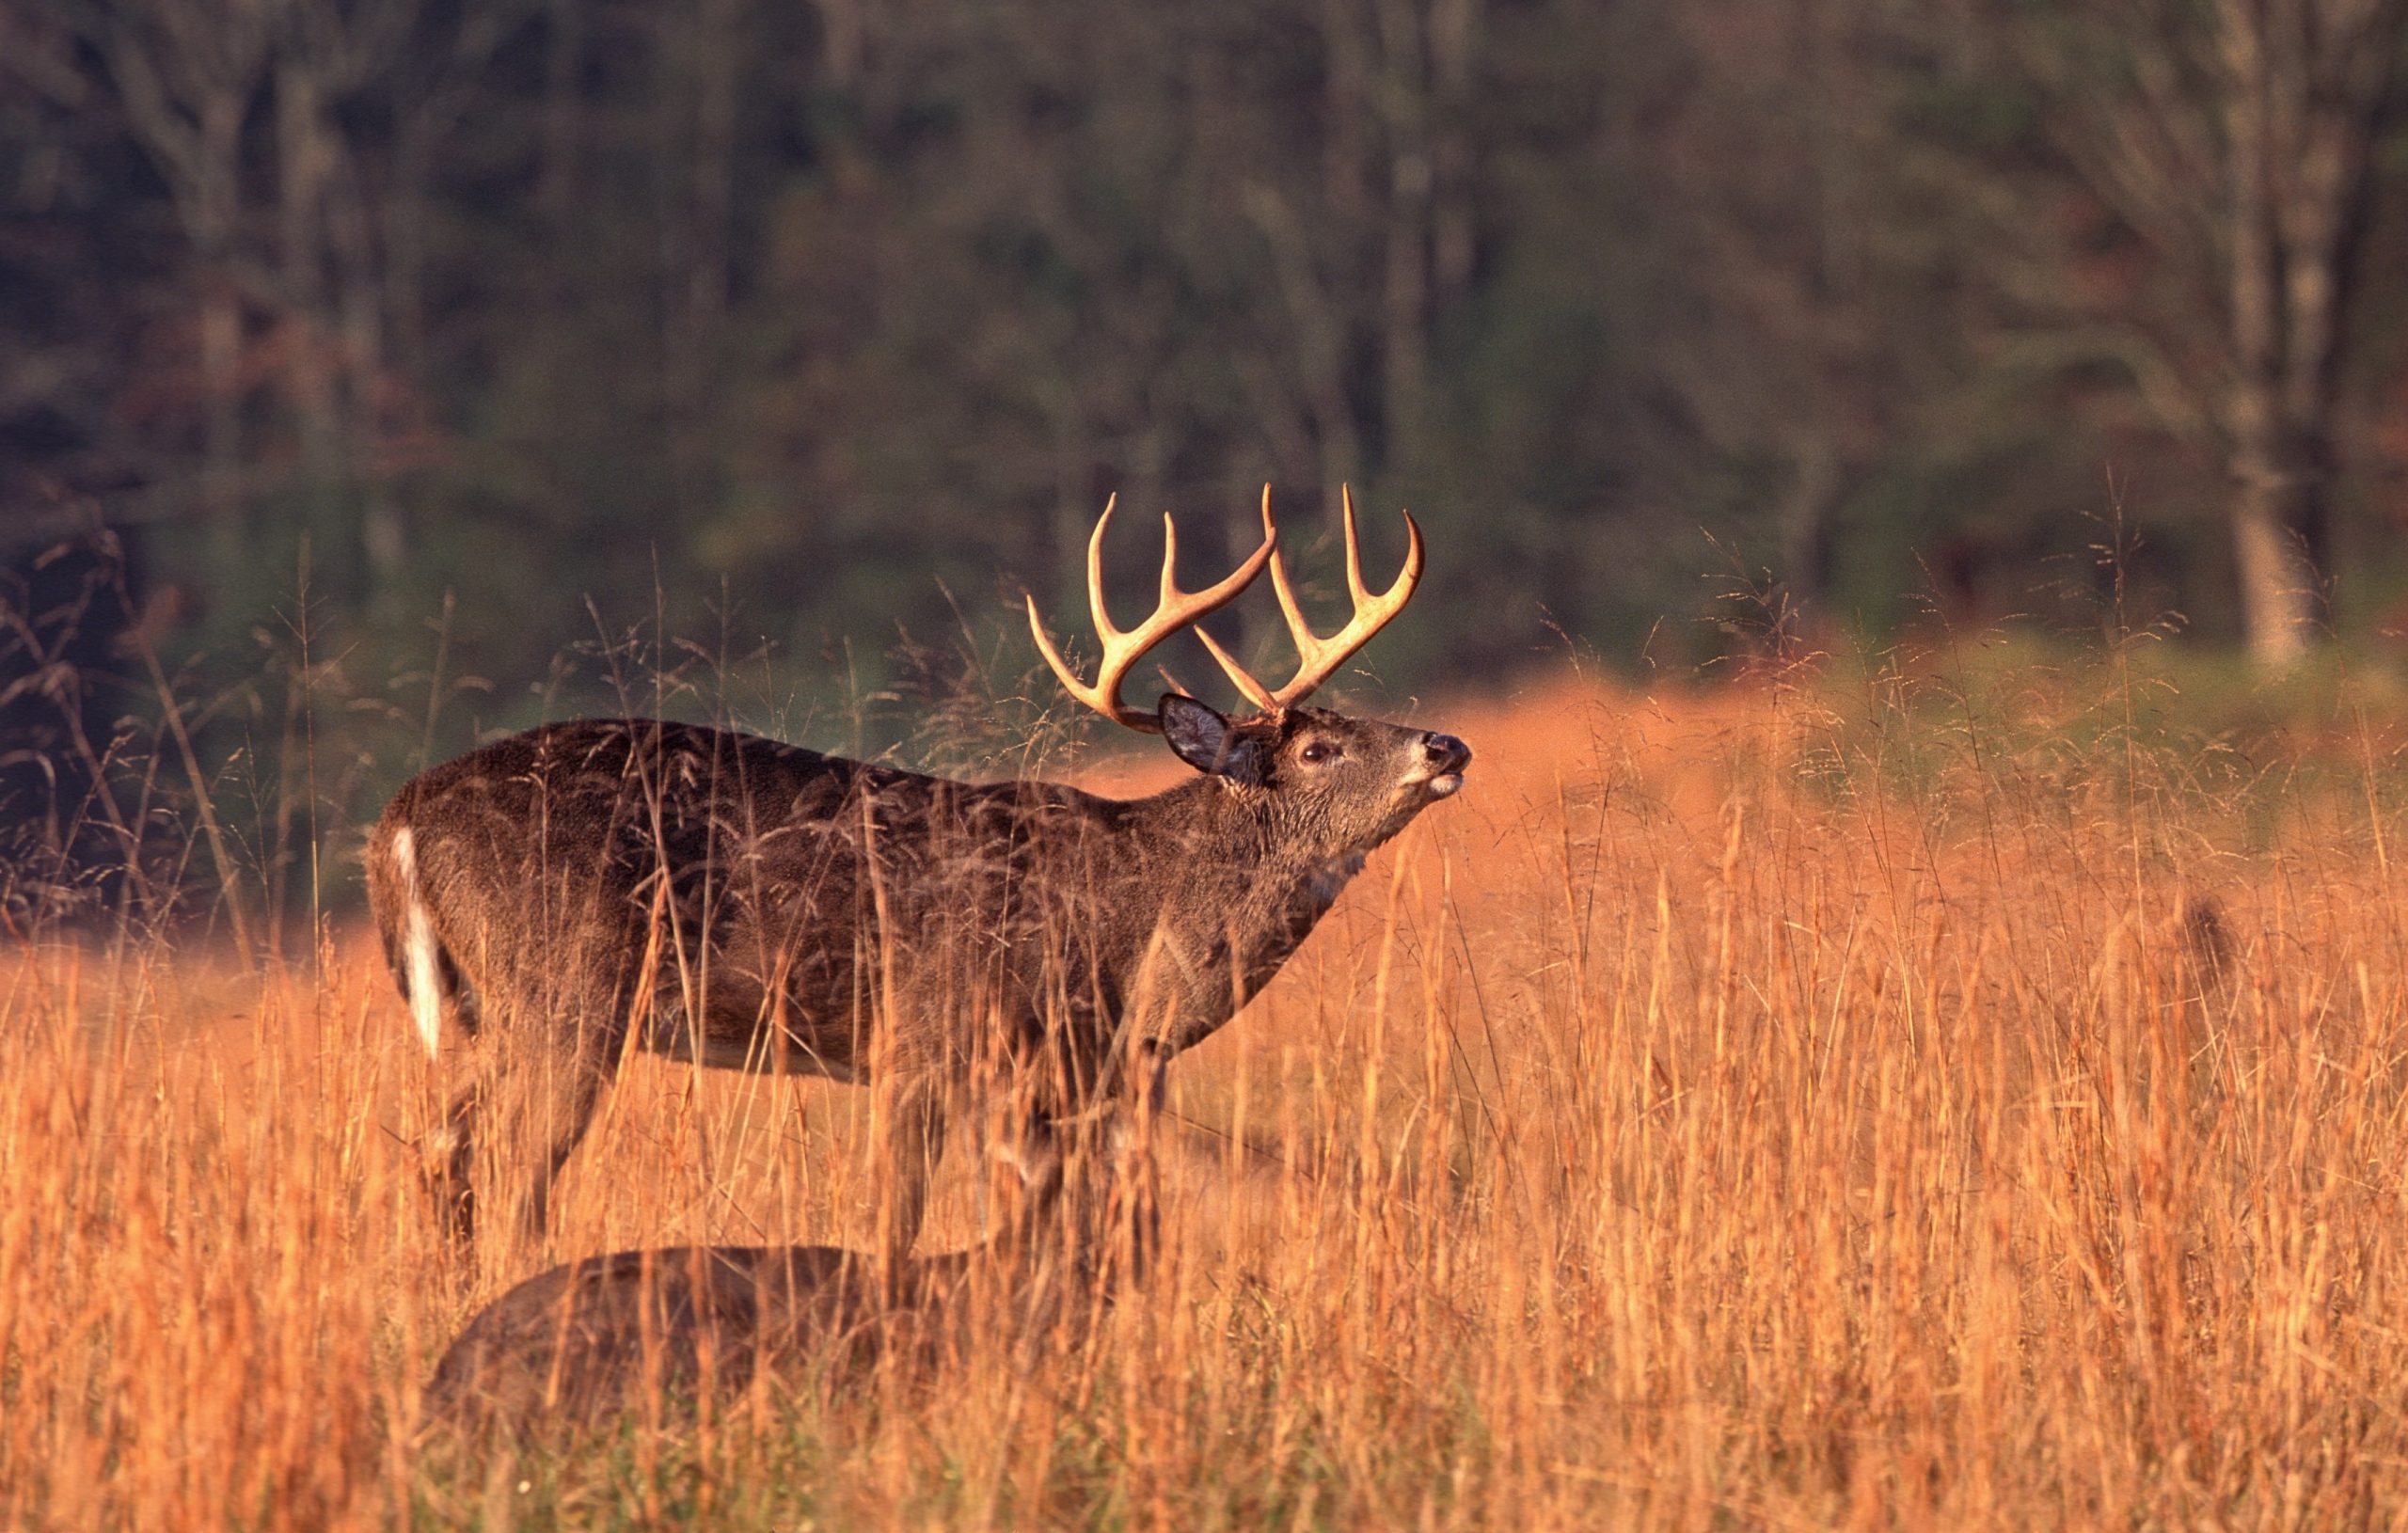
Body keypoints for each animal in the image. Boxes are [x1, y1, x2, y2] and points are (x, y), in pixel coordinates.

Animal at [366, 485, 1464, 1271]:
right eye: (1317, 748)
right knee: (513, 1177)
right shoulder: (930, 1037)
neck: (1130, 926)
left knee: (444, 1154)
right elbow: (896, 1222)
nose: (1445, 745)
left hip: (501, 1010)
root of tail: (400, 820)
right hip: (568, 990)